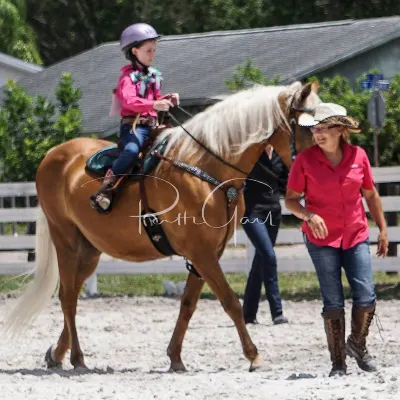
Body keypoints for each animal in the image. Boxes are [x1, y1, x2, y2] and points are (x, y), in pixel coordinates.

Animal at [3, 80, 320, 372]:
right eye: (306, 126)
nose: (319, 164)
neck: (205, 169)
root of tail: (53, 155)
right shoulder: (202, 253)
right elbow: (230, 301)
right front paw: (254, 356)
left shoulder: (207, 255)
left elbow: (188, 303)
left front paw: (175, 357)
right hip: (66, 242)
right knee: (68, 297)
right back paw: (77, 359)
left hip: (89, 250)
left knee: (72, 294)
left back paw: (56, 354)